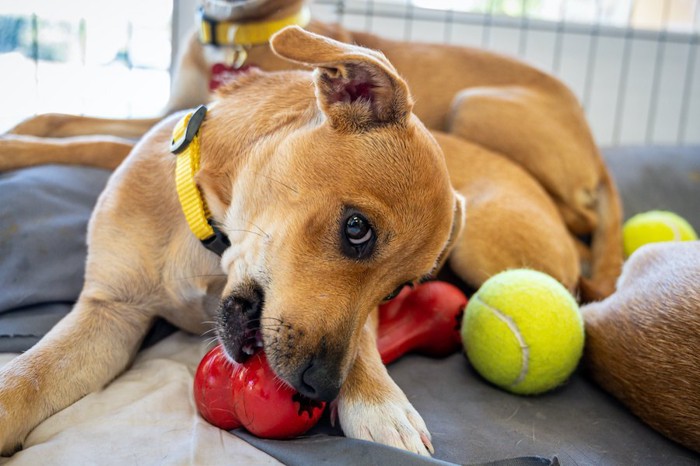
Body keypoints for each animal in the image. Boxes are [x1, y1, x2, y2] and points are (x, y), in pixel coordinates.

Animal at [1, 27, 464, 456]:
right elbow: (26, 377)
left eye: (396, 292)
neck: (210, 237)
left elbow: (364, 339)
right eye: (357, 229)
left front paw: (379, 401)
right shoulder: (111, 312)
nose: (320, 387)